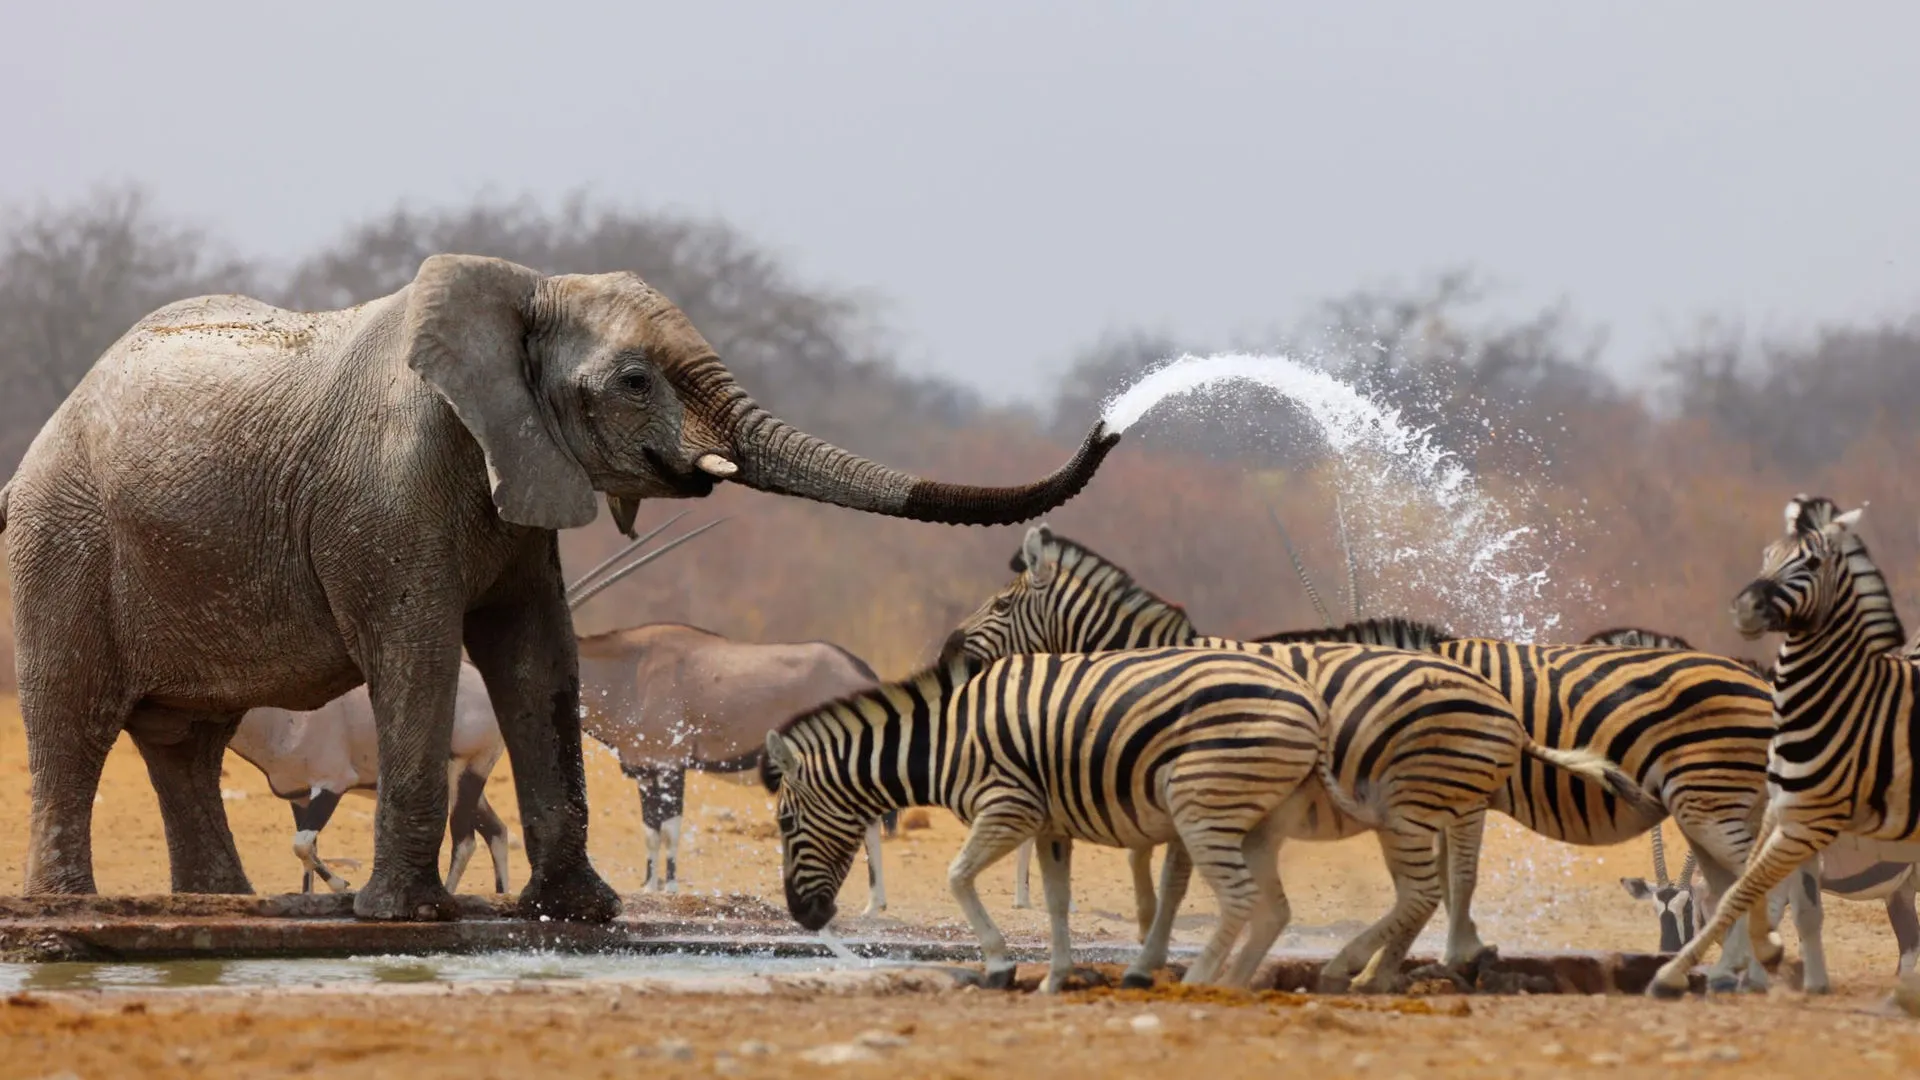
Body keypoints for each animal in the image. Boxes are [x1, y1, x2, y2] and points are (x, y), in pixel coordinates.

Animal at [0, 252, 1119, 923]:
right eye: (635, 380)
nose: (1112, 423)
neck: (522, 293)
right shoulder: (388, 490)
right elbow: (419, 653)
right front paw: (407, 921)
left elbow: (538, 657)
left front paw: (581, 912)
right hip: (63, 541)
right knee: (76, 718)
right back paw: (69, 917)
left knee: (185, 741)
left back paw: (223, 910)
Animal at [761, 642, 1329, 991]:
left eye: (785, 825)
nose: (804, 917)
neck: (946, 740)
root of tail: (1309, 699)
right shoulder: (1050, 825)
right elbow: (1056, 902)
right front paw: (1056, 978)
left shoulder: (1009, 807)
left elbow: (957, 877)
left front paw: (1000, 964)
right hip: (1248, 817)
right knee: (1261, 905)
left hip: (1203, 805)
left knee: (1240, 897)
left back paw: (1198, 983)